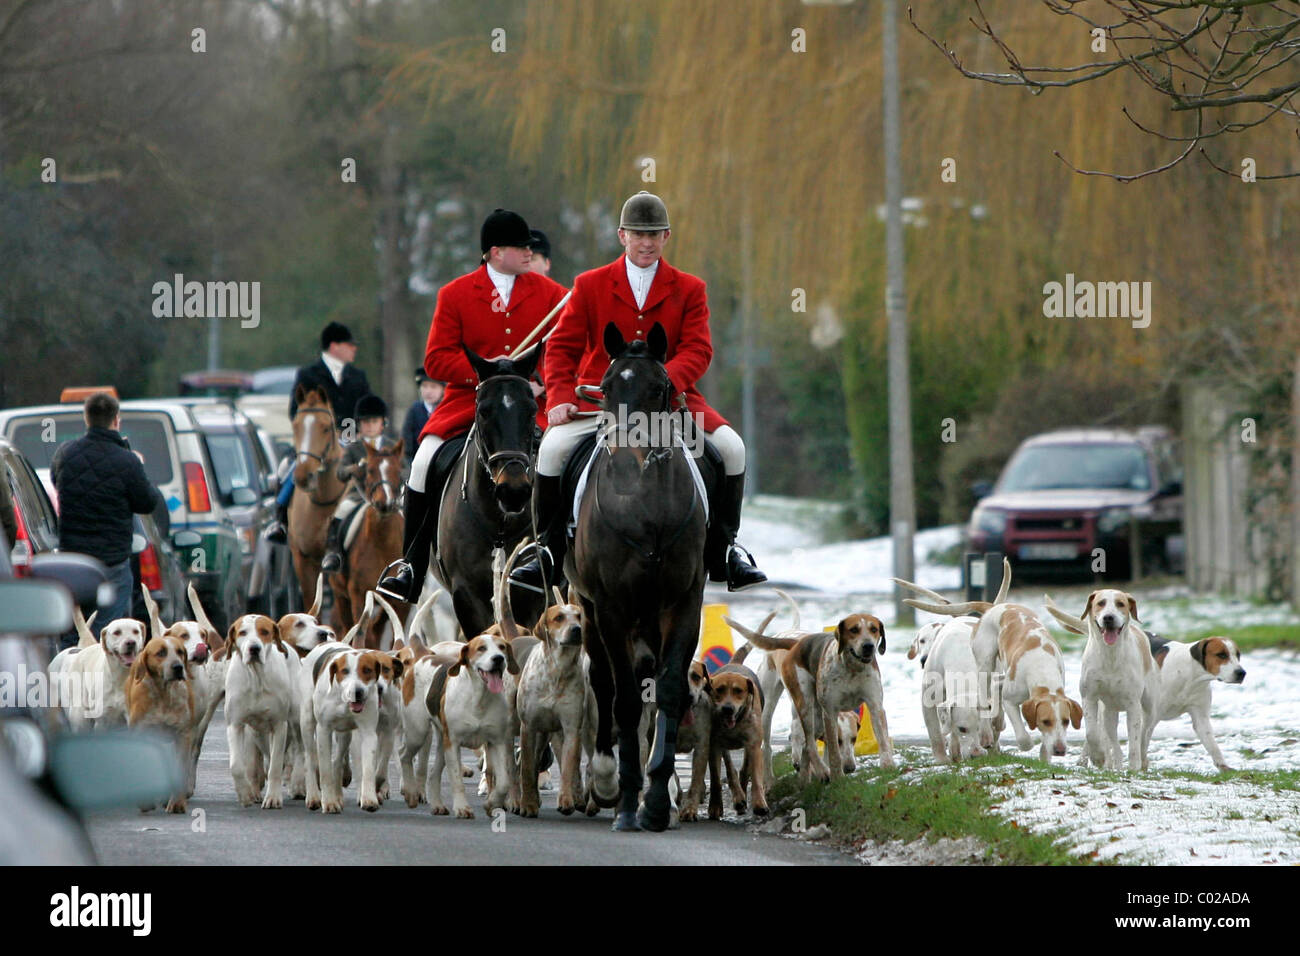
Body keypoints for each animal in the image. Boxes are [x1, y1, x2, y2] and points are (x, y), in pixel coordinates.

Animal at [325, 442, 405, 650]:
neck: (383, 543)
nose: (384, 503)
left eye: (399, 470)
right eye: (369, 470)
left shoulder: (401, 602)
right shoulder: (358, 594)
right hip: (340, 595)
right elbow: (364, 634)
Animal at [431, 343, 543, 642]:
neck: (500, 526)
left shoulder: (530, 594)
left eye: (532, 409)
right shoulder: (466, 596)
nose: (513, 491)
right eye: (483, 411)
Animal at [572, 321, 712, 832]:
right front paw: (629, 799)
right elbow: (626, 700)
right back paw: (607, 780)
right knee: (607, 682)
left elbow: (668, 691)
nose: (624, 464)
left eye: (658, 388)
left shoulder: (684, 603)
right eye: (607, 387)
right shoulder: (611, 608)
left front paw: (654, 800)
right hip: (591, 611)